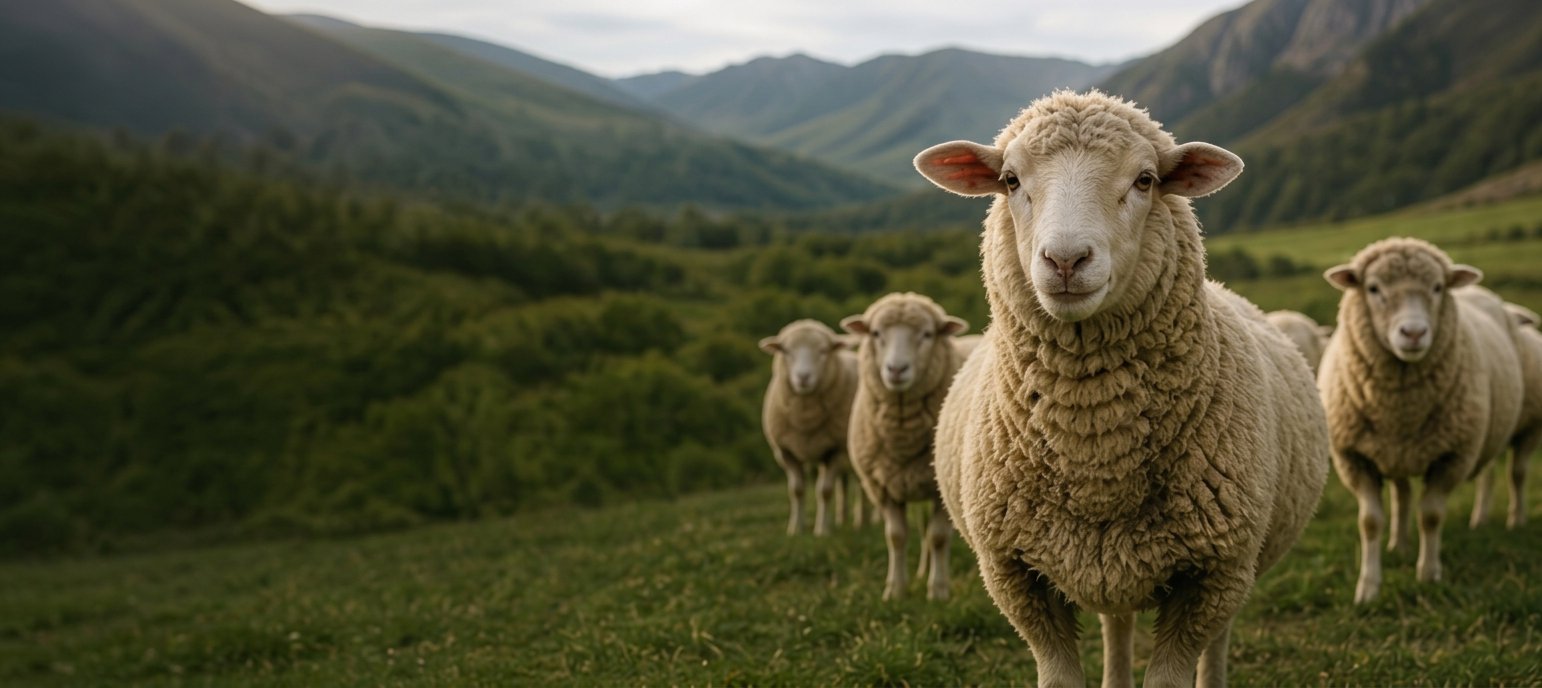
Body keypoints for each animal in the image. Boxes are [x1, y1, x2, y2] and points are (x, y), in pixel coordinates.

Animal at [760, 319, 866, 536]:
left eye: (823, 350)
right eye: (786, 350)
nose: (803, 377)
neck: (805, 419)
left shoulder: (834, 451)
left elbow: (824, 491)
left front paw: (821, 530)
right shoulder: (786, 452)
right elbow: (796, 491)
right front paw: (795, 529)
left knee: (862, 488)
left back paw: (863, 521)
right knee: (843, 485)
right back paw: (841, 520)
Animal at [841, 292, 970, 600]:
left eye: (927, 334)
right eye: (876, 333)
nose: (896, 369)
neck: (902, 437)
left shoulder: (939, 489)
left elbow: (938, 537)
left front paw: (938, 591)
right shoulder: (882, 487)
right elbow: (896, 537)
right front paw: (896, 589)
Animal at [914, 89, 1329, 688]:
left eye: (1146, 180)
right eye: (1011, 180)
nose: (1065, 260)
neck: (1095, 451)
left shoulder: (1213, 573)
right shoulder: (1015, 575)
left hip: (1235, 568)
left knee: (1217, 642)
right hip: (1114, 565)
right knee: (1118, 624)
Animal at [1317, 238, 1523, 604]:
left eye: (1438, 287)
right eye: (1373, 288)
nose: (1413, 333)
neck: (1401, 408)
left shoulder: (1453, 456)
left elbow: (1431, 516)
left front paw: (1428, 574)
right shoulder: (1354, 458)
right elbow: (1370, 522)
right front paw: (1368, 587)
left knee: (1502, 474)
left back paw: (1498, 519)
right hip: (1394, 452)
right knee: (1401, 496)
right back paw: (1398, 544)